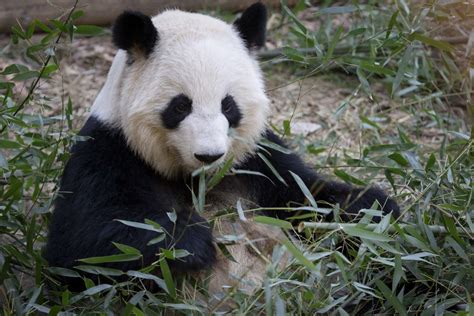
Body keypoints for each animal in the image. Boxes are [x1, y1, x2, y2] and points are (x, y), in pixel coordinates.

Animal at [45, 1, 400, 298]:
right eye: (180, 106)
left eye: (228, 105)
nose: (209, 155)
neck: (196, 178)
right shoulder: (108, 150)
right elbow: (83, 243)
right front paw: (190, 239)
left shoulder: (258, 158)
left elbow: (307, 196)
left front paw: (371, 208)